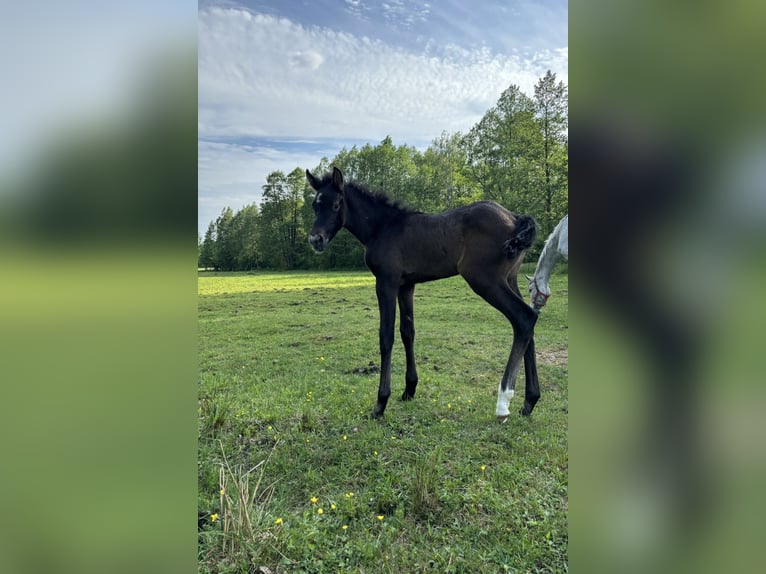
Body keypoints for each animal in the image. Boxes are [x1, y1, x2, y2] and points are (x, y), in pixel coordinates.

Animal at [306, 166, 540, 424]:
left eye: (336, 205)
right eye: (315, 205)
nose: (315, 240)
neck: (383, 227)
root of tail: (514, 218)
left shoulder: (386, 282)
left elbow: (386, 337)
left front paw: (381, 403)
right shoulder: (406, 285)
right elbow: (408, 332)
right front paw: (409, 389)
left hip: (484, 279)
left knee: (524, 318)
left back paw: (503, 404)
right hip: (510, 279)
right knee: (528, 325)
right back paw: (529, 402)